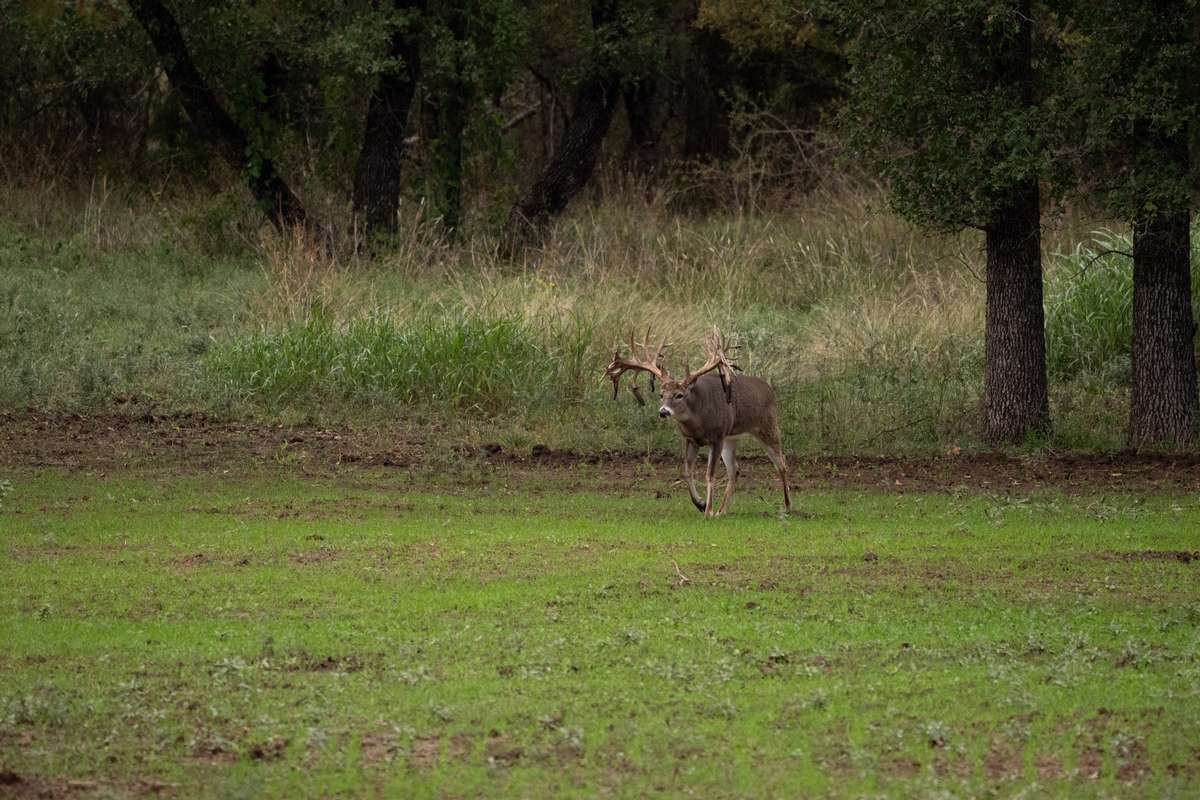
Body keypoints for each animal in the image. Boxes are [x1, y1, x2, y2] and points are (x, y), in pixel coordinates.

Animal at [604, 326, 792, 520]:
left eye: (679, 394)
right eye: (661, 394)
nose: (663, 411)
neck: (698, 422)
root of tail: (770, 389)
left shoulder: (717, 437)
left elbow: (710, 474)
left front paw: (707, 510)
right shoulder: (690, 439)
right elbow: (686, 471)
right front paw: (701, 504)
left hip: (767, 426)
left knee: (782, 463)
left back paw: (787, 506)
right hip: (731, 438)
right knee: (735, 470)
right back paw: (722, 510)